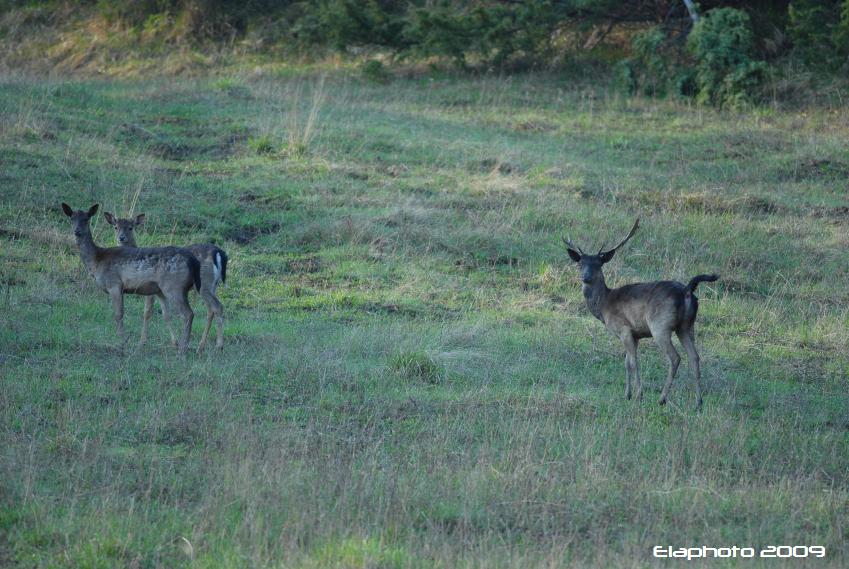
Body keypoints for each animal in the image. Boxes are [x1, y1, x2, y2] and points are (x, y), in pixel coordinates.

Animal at [61, 202, 200, 352]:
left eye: (86, 219)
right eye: (71, 219)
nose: (77, 231)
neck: (96, 261)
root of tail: (192, 260)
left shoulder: (114, 284)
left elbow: (118, 314)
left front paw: (122, 341)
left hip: (173, 286)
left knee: (188, 313)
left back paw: (183, 348)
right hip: (167, 289)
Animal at [103, 211, 229, 350]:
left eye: (131, 228)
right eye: (115, 227)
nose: (121, 237)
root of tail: (218, 253)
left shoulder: (150, 289)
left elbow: (147, 312)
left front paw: (142, 341)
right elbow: (166, 314)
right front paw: (174, 342)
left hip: (204, 283)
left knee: (217, 306)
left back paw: (218, 345)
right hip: (212, 284)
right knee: (210, 309)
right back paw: (201, 346)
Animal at [564, 217, 716, 408]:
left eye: (598, 264)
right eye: (580, 264)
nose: (585, 276)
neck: (604, 306)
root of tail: (687, 291)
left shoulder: (624, 329)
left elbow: (634, 362)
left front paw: (638, 394)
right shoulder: (635, 335)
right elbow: (626, 362)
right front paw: (627, 394)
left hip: (660, 325)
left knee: (675, 357)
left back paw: (662, 399)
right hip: (687, 326)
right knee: (694, 357)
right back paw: (698, 402)